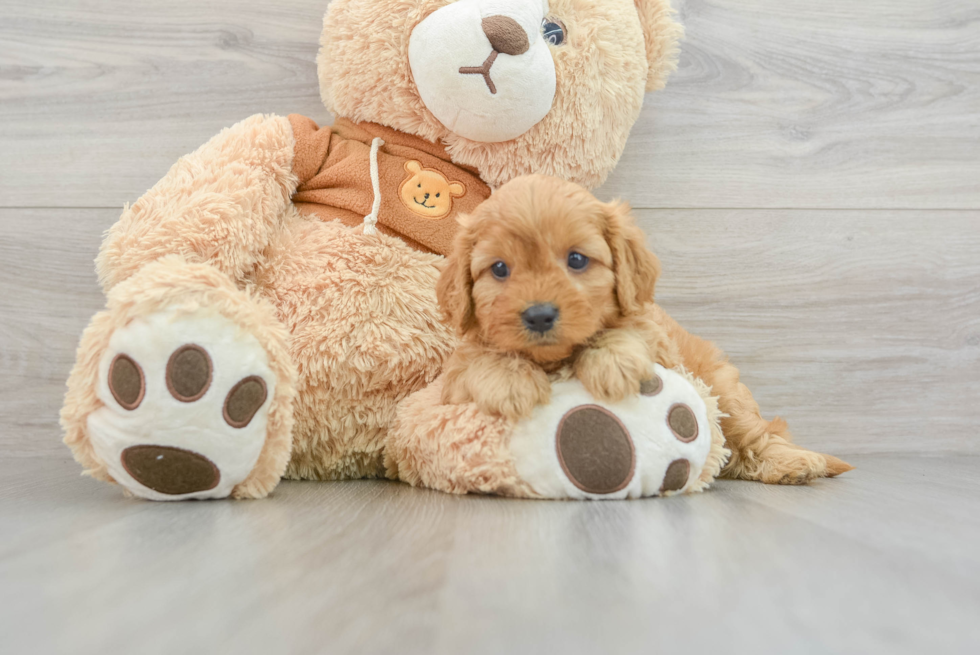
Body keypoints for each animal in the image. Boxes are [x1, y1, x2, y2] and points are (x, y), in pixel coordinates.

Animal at [434, 174, 848, 486]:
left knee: (759, 434)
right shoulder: (452, 377)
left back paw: (794, 463)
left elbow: (630, 331)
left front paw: (612, 364)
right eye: (499, 269)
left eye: (577, 259)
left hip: (727, 392)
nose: (539, 315)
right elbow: (479, 357)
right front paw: (510, 380)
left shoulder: (657, 339)